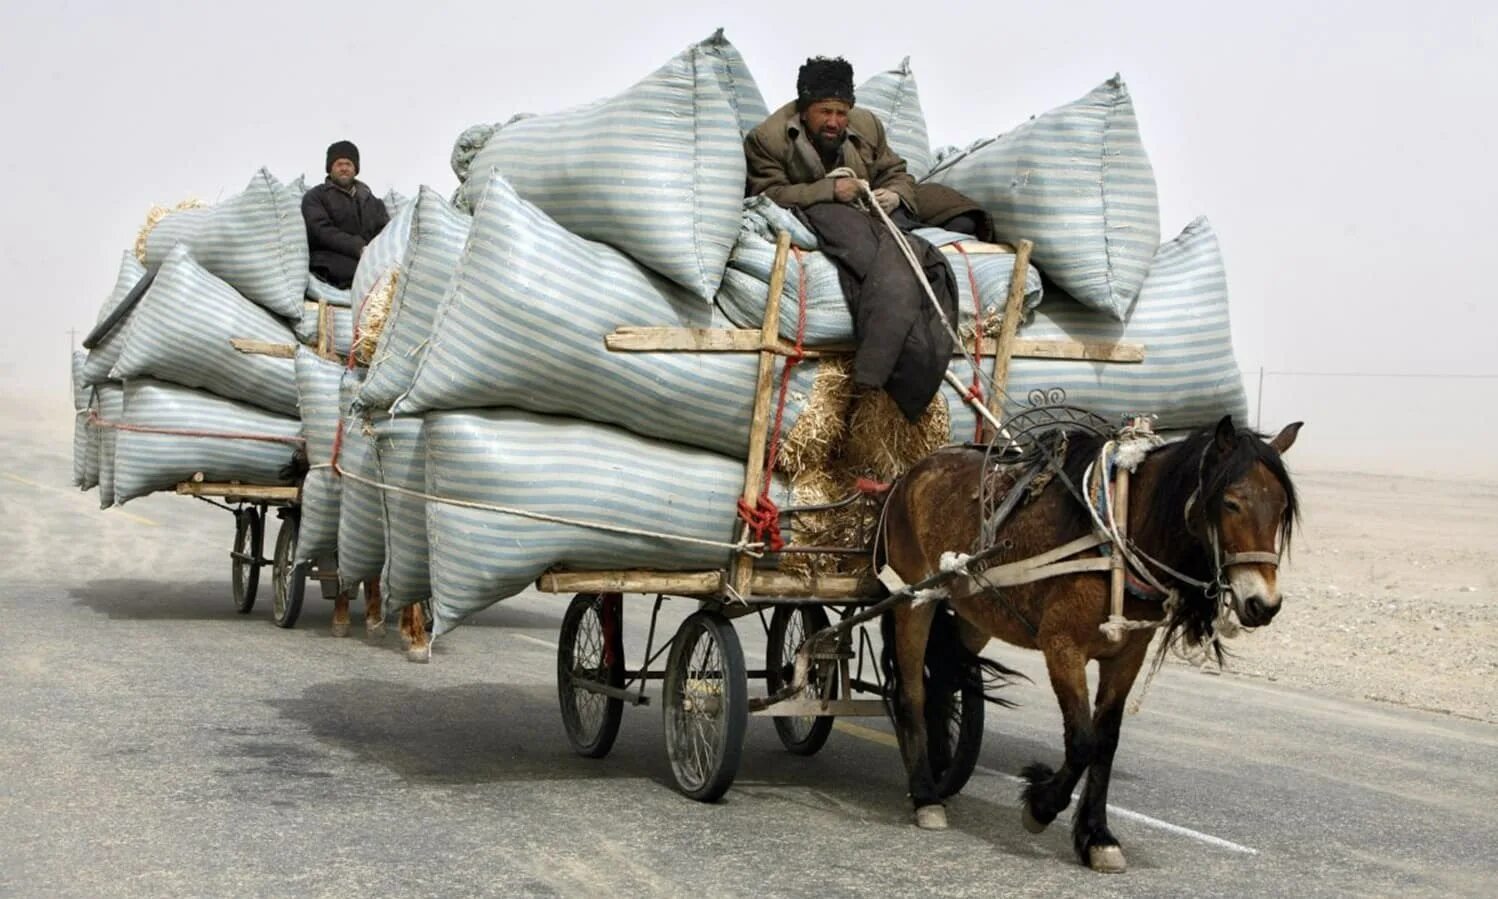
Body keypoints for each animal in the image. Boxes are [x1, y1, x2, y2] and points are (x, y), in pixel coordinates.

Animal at [874, 416, 1300, 869]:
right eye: (1231, 503)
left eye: (1281, 509)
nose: (1263, 604)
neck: (1116, 538)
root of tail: (911, 473)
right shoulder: (1062, 646)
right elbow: (1082, 741)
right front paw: (1040, 805)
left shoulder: (1127, 655)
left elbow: (1106, 742)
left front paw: (1097, 836)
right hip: (914, 601)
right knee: (912, 693)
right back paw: (925, 795)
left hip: (973, 612)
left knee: (941, 679)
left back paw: (940, 769)